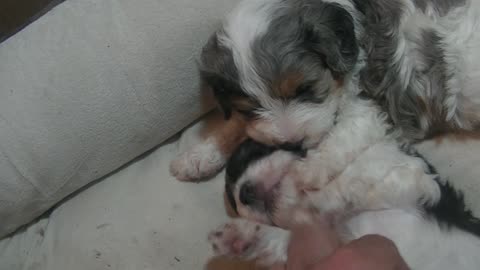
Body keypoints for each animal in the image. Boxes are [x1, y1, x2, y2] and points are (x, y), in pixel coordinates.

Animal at [171, 0, 480, 181]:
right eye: (250, 108)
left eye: (305, 88)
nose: (291, 143)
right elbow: (235, 126)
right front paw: (199, 156)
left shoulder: (374, 104)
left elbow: (341, 137)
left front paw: (304, 173)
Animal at [208, 92, 480, 268]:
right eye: (234, 203)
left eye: (251, 152)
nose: (243, 194)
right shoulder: (329, 243)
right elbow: (287, 238)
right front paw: (240, 236)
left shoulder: (416, 179)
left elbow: (350, 176)